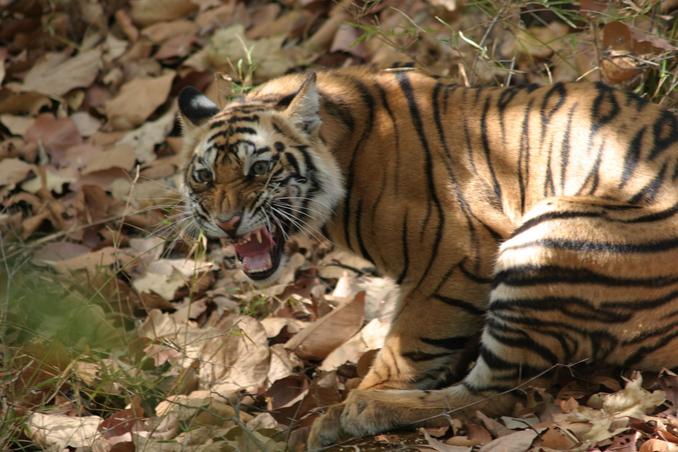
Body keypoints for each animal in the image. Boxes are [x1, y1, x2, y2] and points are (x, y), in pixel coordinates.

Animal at [178, 66, 678, 448]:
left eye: (259, 168)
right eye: (203, 176)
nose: (226, 222)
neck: (343, 151)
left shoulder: (455, 255)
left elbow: (408, 344)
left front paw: (350, 404)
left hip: (546, 238)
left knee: (498, 394)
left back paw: (363, 409)